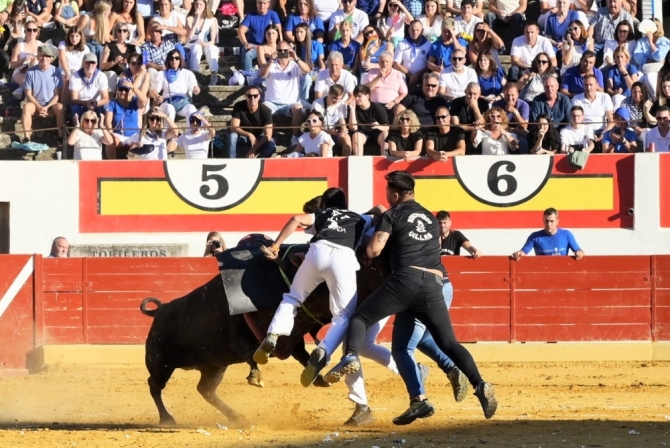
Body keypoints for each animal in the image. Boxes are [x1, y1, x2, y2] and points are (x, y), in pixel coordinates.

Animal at [139, 243, 388, 426]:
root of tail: (159, 311)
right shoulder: (239, 337)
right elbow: (252, 354)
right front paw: (256, 377)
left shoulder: (294, 340)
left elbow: (303, 355)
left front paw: (318, 379)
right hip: (160, 363)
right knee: (154, 386)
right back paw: (167, 419)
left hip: (215, 365)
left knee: (205, 390)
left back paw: (236, 417)